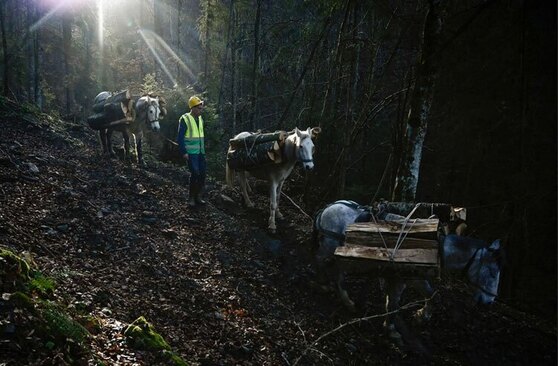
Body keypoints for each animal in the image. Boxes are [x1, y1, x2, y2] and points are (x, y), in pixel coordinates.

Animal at [316, 200, 508, 340]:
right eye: (493, 273)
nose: (489, 302)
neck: (436, 248)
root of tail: (328, 207)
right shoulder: (406, 278)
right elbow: (398, 301)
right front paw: (394, 328)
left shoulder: (411, 278)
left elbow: (425, 295)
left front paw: (417, 317)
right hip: (330, 247)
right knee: (331, 270)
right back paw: (342, 298)